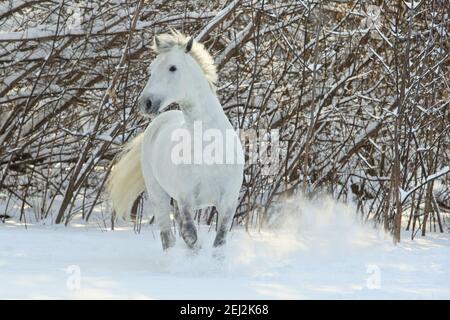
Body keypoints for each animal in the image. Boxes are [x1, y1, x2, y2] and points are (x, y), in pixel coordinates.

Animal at [107, 30, 244, 250]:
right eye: (152, 68)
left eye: (173, 67)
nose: (145, 103)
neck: (208, 148)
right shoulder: (185, 199)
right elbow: (190, 236)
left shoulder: (228, 202)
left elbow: (219, 242)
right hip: (159, 196)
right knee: (168, 237)